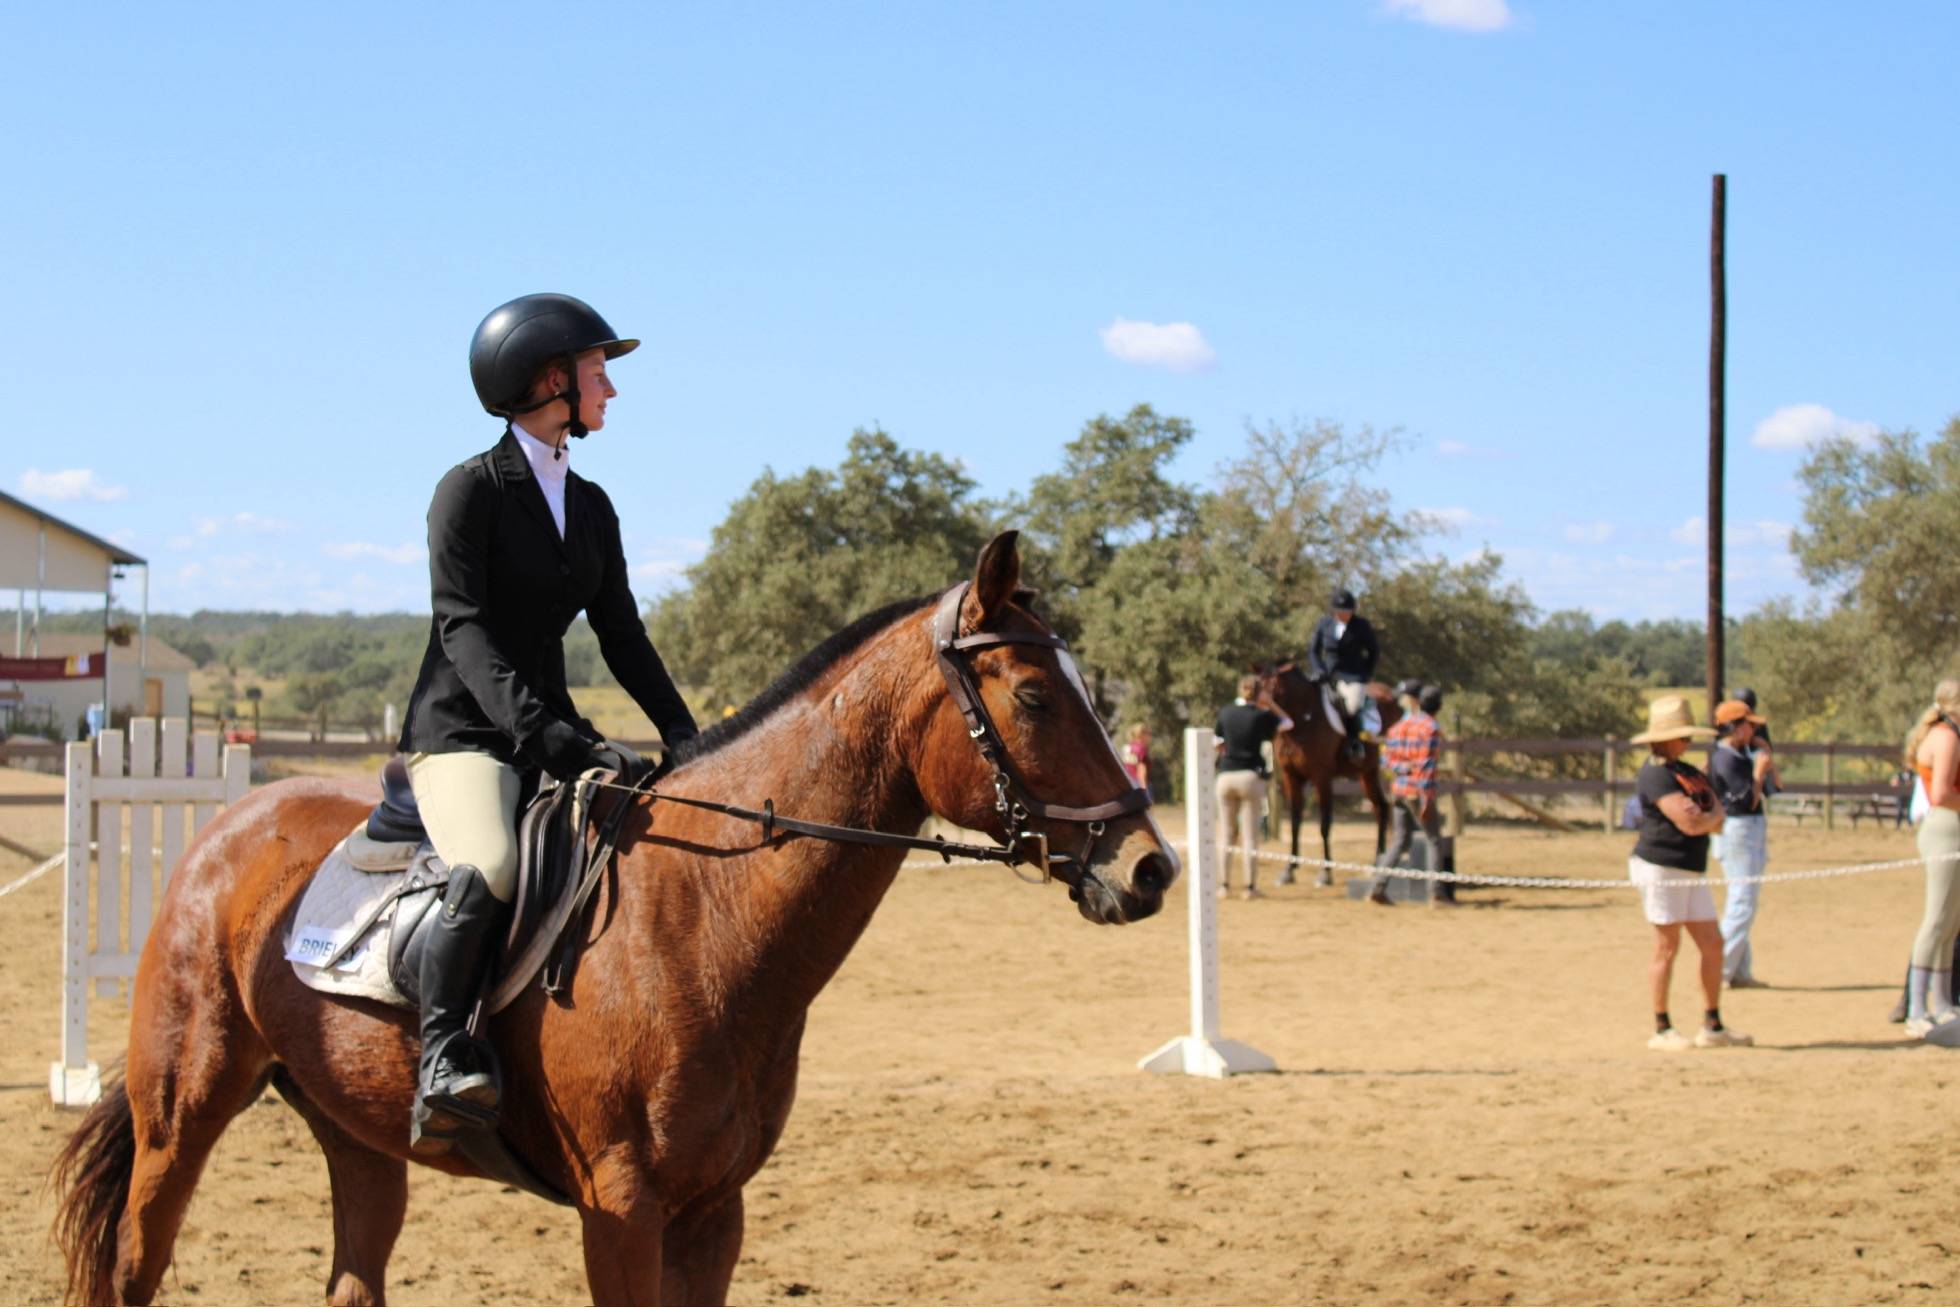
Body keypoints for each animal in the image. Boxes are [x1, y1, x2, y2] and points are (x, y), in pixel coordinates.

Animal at [52, 531, 1177, 1307]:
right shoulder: (622, 1207)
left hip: (357, 1133)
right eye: (1032, 696)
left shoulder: (711, 1211)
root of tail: (226, 826)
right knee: (134, 1263)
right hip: (183, 1110)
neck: (708, 915)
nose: (1151, 865)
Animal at [1256, 662, 1401, 884]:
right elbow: (1295, 821)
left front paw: (1325, 872)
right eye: (1258, 688)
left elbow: (1325, 824)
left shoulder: (1321, 777)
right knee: (1381, 807)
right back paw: (1379, 861)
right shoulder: (1292, 777)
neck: (1303, 719)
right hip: (1367, 772)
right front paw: (1289, 869)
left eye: (1275, 690)